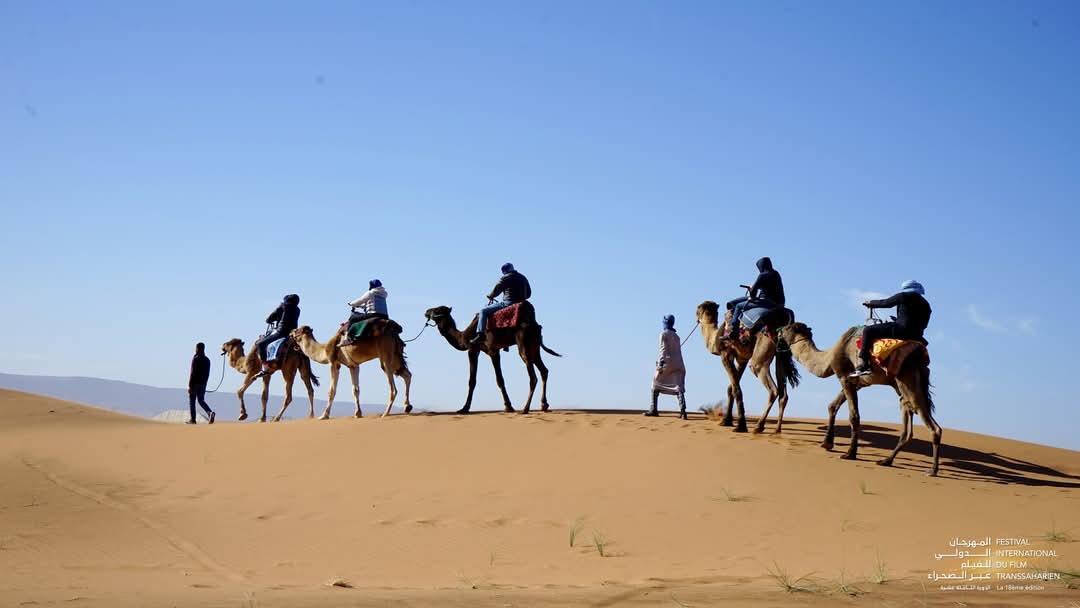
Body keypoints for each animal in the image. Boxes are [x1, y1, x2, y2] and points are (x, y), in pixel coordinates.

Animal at [423, 304, 560, 414]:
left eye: (436, 310)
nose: (426, 311)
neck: (464, 337)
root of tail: (535, 325)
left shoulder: (477, 350)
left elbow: (474, 381)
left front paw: (464, 408)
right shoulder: (494, 351)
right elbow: (500, 379)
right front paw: (508, 406)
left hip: (523, 344)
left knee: (532, 376)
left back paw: (525, 409)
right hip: (535, 346)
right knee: (544, 370)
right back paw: (544, 405)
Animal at [695, 301, 800, 433]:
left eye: (698, 309)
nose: (696, 316)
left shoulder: (726, 354)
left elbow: (736, 389)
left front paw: (740, 425)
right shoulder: (742, 359)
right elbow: (731, 388)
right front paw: (726, 421)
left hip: (761, 353)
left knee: (772, 388)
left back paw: (759, 426)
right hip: (780, 354)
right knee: (783, 394)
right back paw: (777, 430)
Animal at [777, 321, 942, 476]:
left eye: (788, 328)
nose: (779, 331)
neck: (830, 356)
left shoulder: (844, 376)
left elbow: (854, 416)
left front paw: (850, 453)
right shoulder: (856, 382)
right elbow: (832, 406)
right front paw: (827, 443)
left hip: (906, 379)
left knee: (929, 422)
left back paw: (932, 470)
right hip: (903, 385)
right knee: (907, 416)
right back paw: (886, 461)